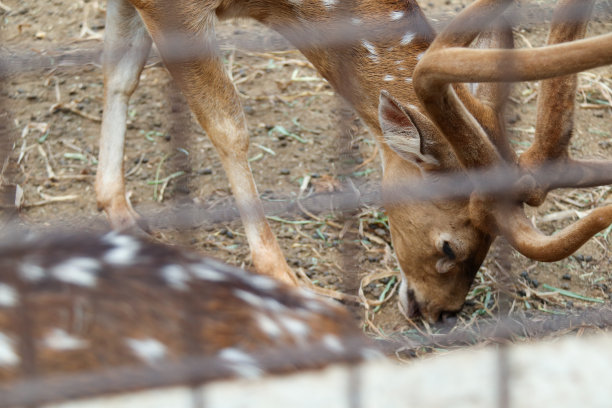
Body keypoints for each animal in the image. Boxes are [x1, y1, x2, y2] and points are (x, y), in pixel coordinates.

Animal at [95, 0, 612, 322]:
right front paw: (290, 281)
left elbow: (121, 75)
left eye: (489, 244)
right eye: (450, 247)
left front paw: (118, 211)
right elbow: (228, 125)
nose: (442, 313)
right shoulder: (174, 9)